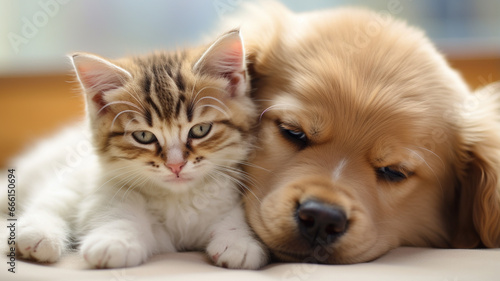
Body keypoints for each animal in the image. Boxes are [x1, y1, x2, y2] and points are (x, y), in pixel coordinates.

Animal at [4, 29, 270, 268]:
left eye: (200, 130)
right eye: (143, 136)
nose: (176, 165)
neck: (178, 198)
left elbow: (236, 216)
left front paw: (238, 241)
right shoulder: (109, 188)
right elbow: (119, 212)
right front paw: (114, 241)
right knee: (50, 200)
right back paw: (34, 235)